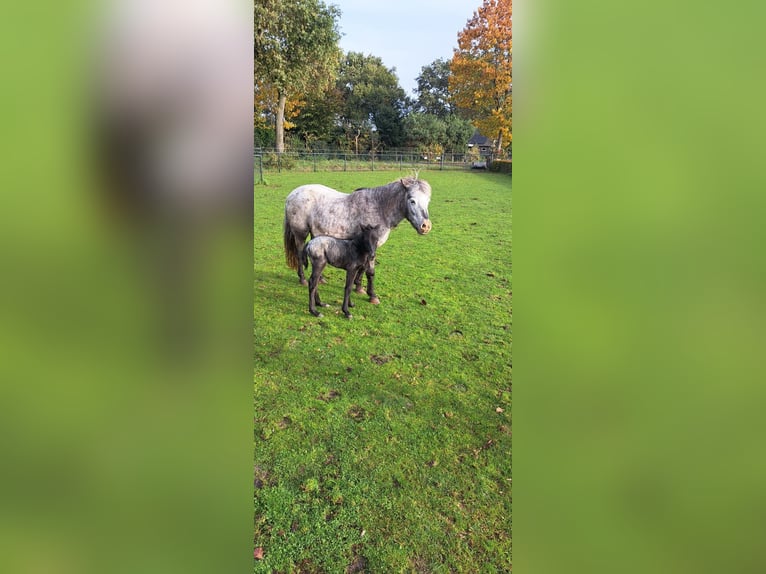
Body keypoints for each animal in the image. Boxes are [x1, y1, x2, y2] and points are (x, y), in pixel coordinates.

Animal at [284, 178, 436, 306]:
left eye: (428, 201)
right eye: (412, 201)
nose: (426, 226)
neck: (379, 208)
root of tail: (292, 195)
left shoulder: (369, 248)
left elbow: (363, 268)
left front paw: (359, 287)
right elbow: (370, 271)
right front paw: (372, 296)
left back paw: (320, 279)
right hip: (300, 234)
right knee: (299, 254)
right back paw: (303, 279)